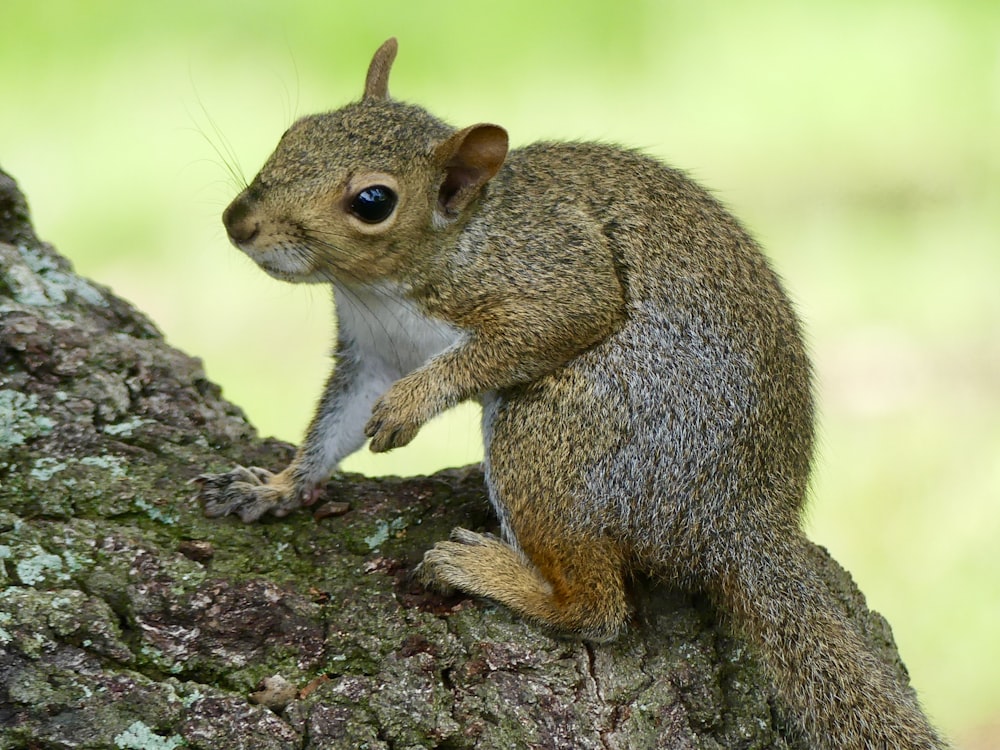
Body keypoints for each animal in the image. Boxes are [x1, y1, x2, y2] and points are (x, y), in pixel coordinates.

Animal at [193, 38, 944, 748]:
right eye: (295, 133)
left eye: (372, 202)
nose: (237, 222)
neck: (395, 282)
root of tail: (740, 524)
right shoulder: (371, 355)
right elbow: (333, 429)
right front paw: (275, 485)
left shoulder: (550, 273)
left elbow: (556, 320)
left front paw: (415, 401)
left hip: (559, 434)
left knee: (599, 609)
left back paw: (488, 571)